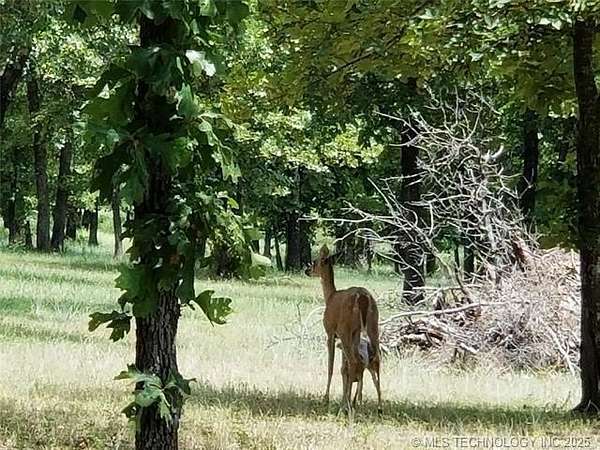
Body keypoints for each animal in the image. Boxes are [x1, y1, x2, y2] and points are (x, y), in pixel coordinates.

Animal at [305, 244, 382, 417]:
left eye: (315, 262)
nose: (306, 270)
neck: (330, 297)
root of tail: (363, 297)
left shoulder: (330, 332)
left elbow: (331, 366)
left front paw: (326, 398)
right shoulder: (354, 334)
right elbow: (344, 367)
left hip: (345, 328)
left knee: (354, 360)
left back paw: (345, 406)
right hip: (372, 324)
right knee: (374, 358)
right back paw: (375, 406)